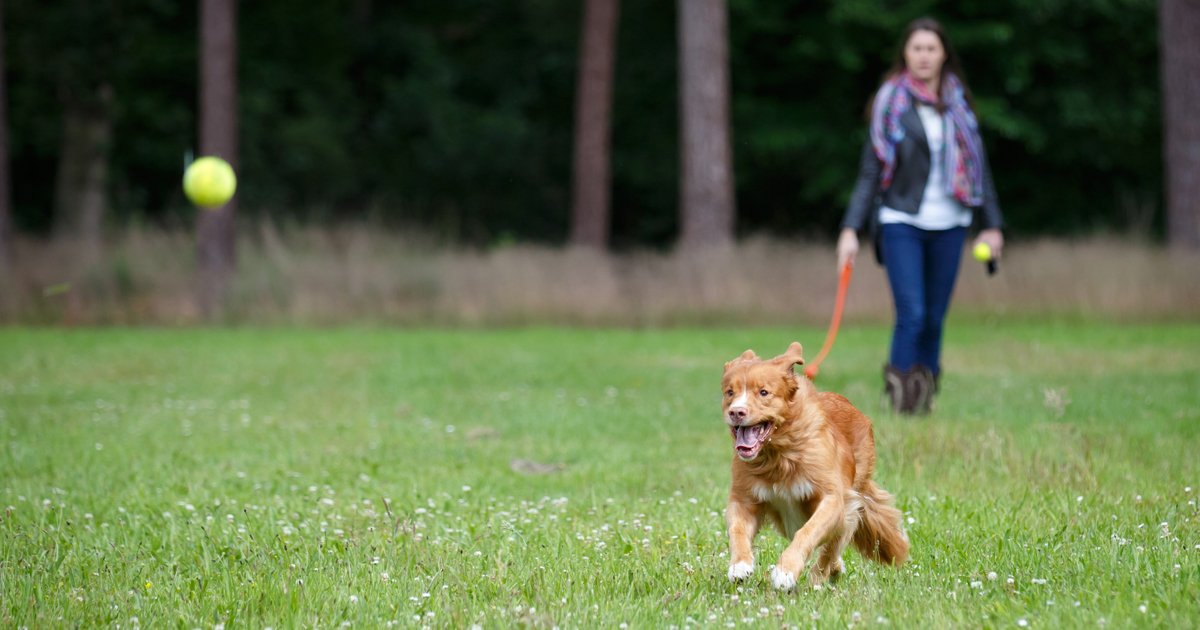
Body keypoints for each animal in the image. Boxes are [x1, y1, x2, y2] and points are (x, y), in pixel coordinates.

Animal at [720, 340, 907, 588]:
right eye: (730, 392)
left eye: (763, 392)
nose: (736, 412)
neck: (779, 455)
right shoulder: (744, 498)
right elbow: (737, 530)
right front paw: (740, 565)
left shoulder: (832, 499)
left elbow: (808, 532)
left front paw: (786, 571)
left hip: (850, 500)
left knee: (834, 544)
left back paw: (820, 577)